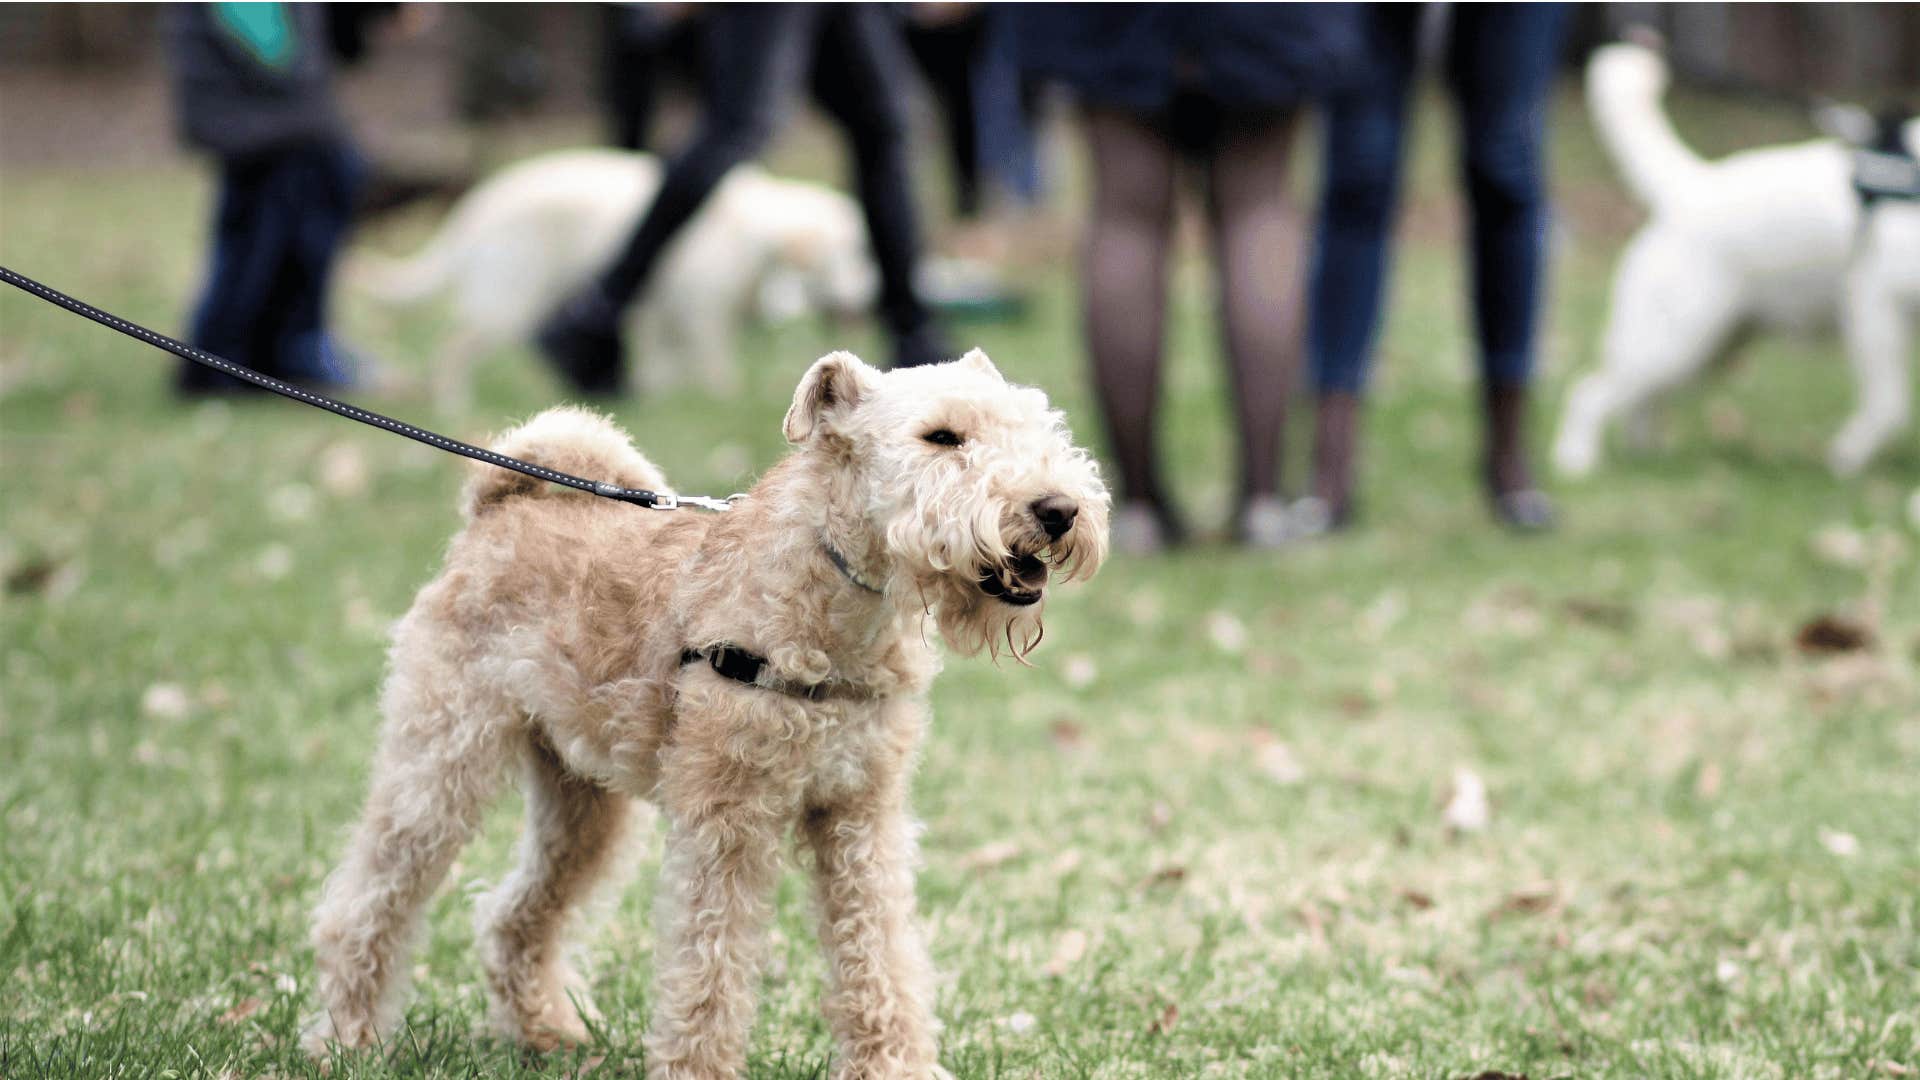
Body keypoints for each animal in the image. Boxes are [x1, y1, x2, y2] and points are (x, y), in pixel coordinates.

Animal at [357, 145, 875, 405]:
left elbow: (666, 366)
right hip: (508, 303)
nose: (872, 297)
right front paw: (717, 398)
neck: (756, 239)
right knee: (450, 353)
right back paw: (455, 407)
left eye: (864, 252)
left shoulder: (661, 317)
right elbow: (715, 369)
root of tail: (476, 206)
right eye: (849, 253)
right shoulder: (698, 316)